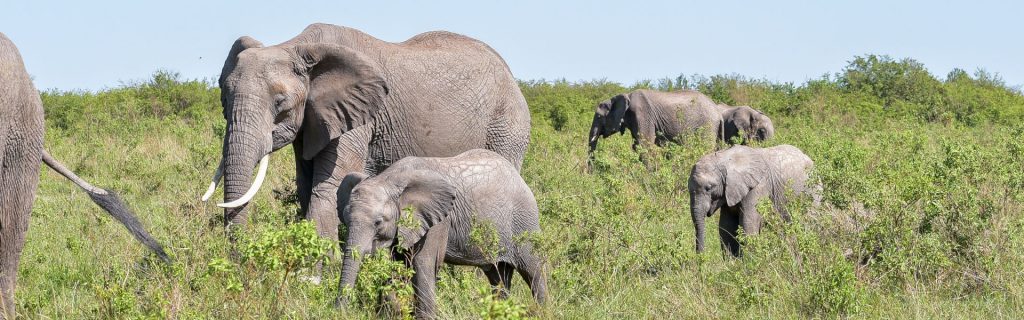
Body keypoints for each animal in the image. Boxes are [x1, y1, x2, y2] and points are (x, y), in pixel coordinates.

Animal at [202, 22, 532, 246]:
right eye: (224, 98)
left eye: (280, 103)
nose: (238, 261)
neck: (298, 46)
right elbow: (306, 187)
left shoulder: (358, 119)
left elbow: (327, 187)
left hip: (507, 127)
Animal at [333, 147, 544, 317]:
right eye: (345, 218)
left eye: (378, 222)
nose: (340, 311)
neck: (389, 179)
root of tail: (519, 177)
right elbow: (400, 265)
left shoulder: (438, 222)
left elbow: (422, 264)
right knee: (498, 275)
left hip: (524, 220)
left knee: (533, 269)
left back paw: (543, 310)